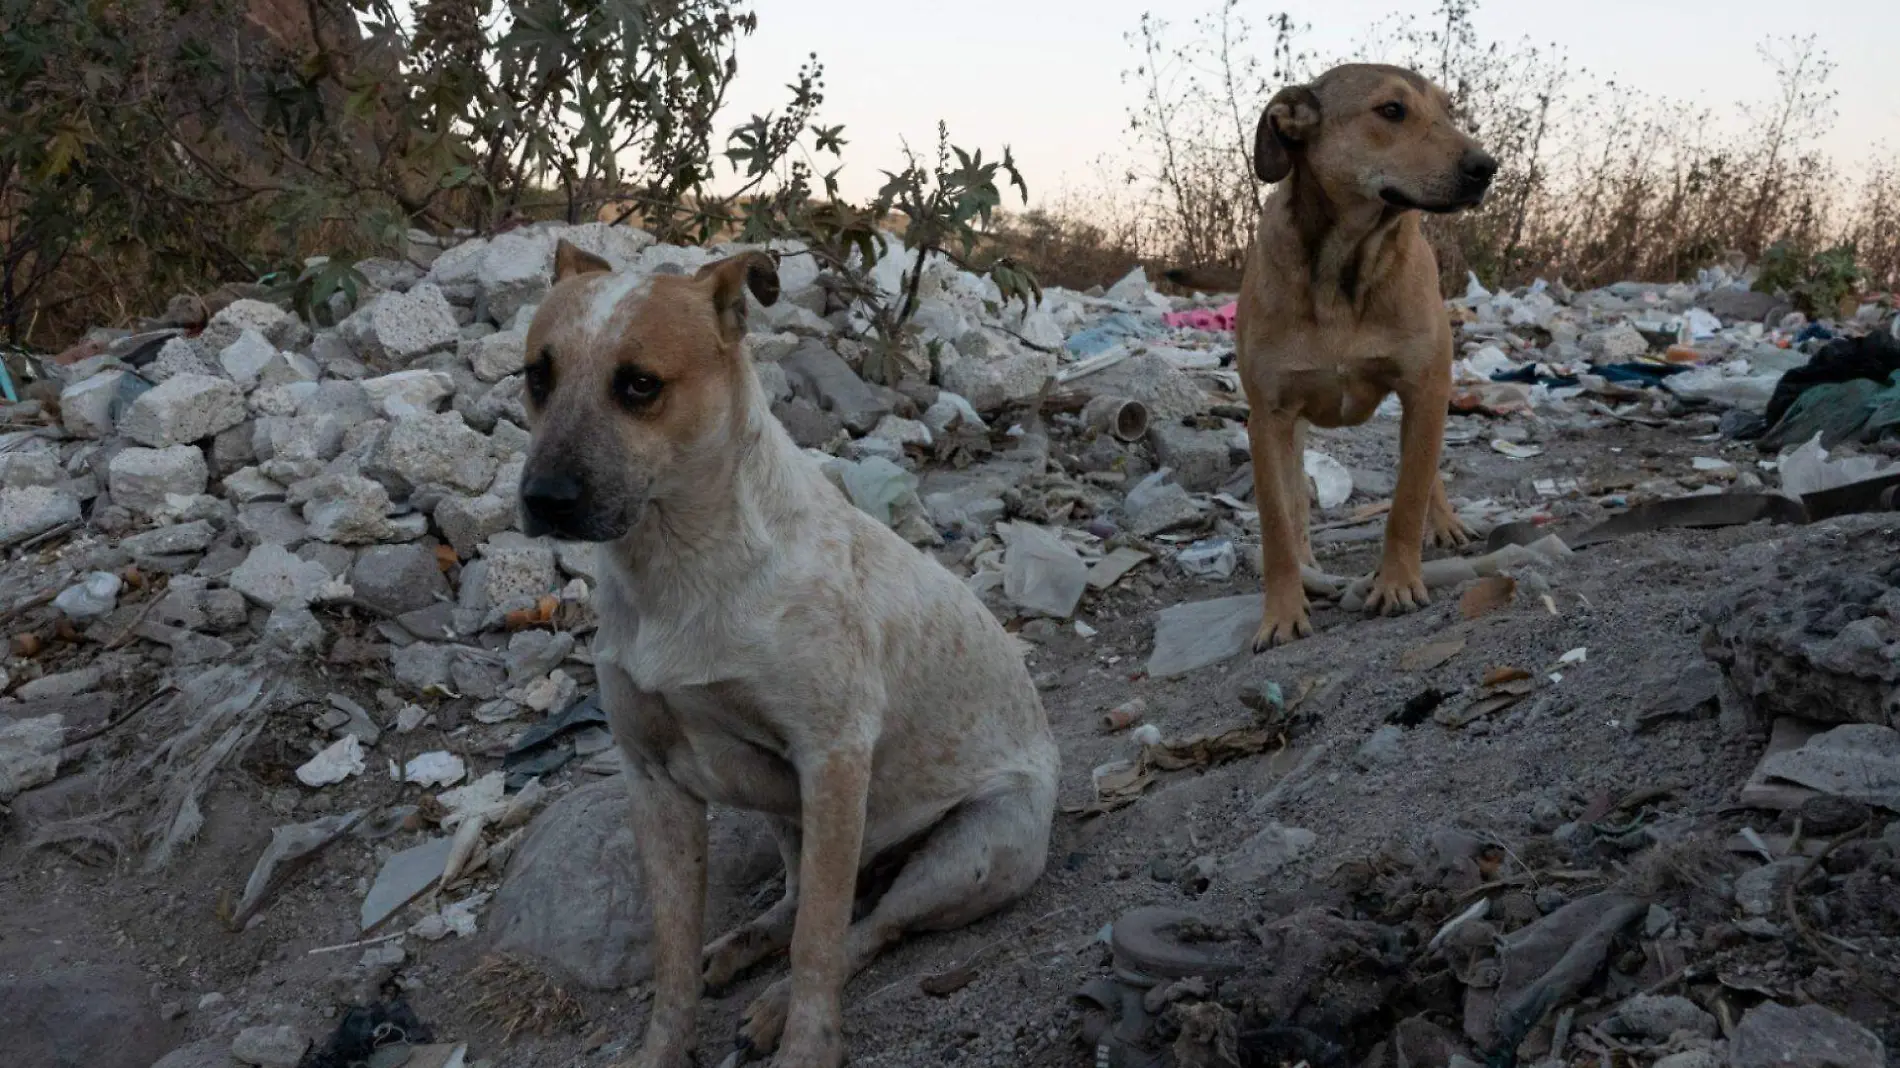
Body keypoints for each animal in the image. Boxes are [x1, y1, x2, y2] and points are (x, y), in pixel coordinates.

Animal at [1231, 66, 1497, 649]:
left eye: (1448, 110)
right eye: (1391, 111)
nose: (1486, 168)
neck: (1344, 264)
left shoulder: (1424, 389)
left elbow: (1407, 500)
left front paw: (1397, 582)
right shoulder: (1268, 416)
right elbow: (1277, 525)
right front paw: (1282, 612)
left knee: (1425, 473)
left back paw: (1444, 524)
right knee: (1296, 500)